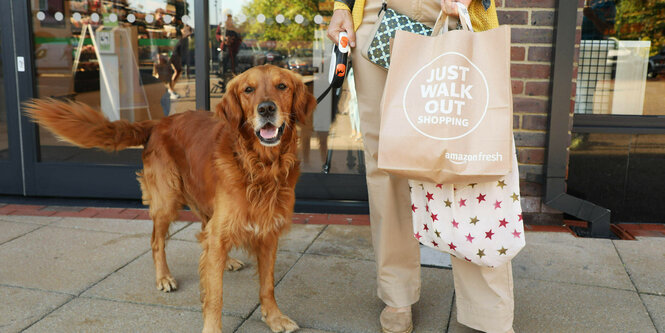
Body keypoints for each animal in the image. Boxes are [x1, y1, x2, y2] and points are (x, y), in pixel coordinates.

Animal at [24, 63, 316, 330]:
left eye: (282, 86)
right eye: (248, 90)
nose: (266, 109)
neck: (259, 166)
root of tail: (158, 122)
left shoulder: (268, 233)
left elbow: (267, 285)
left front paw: (274, 317)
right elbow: (215, 297)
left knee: (204, 230)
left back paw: (227, 261)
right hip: (166, 201)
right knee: (156, 241)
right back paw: (164, 277)